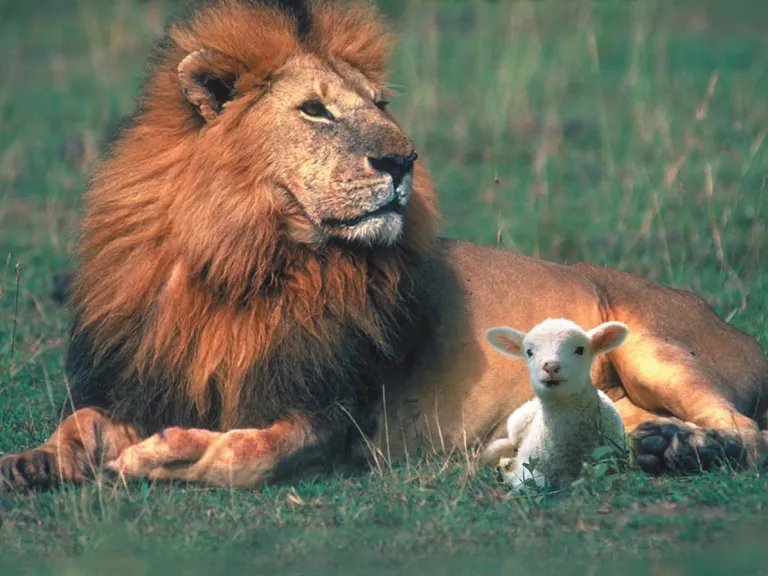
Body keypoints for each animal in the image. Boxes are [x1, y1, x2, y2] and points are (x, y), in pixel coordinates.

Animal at [481, 318, 629, 491]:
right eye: (529, 352)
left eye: (580, 350)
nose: (551, 366)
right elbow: (532, 480)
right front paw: (506, 470)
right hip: (515, 424)